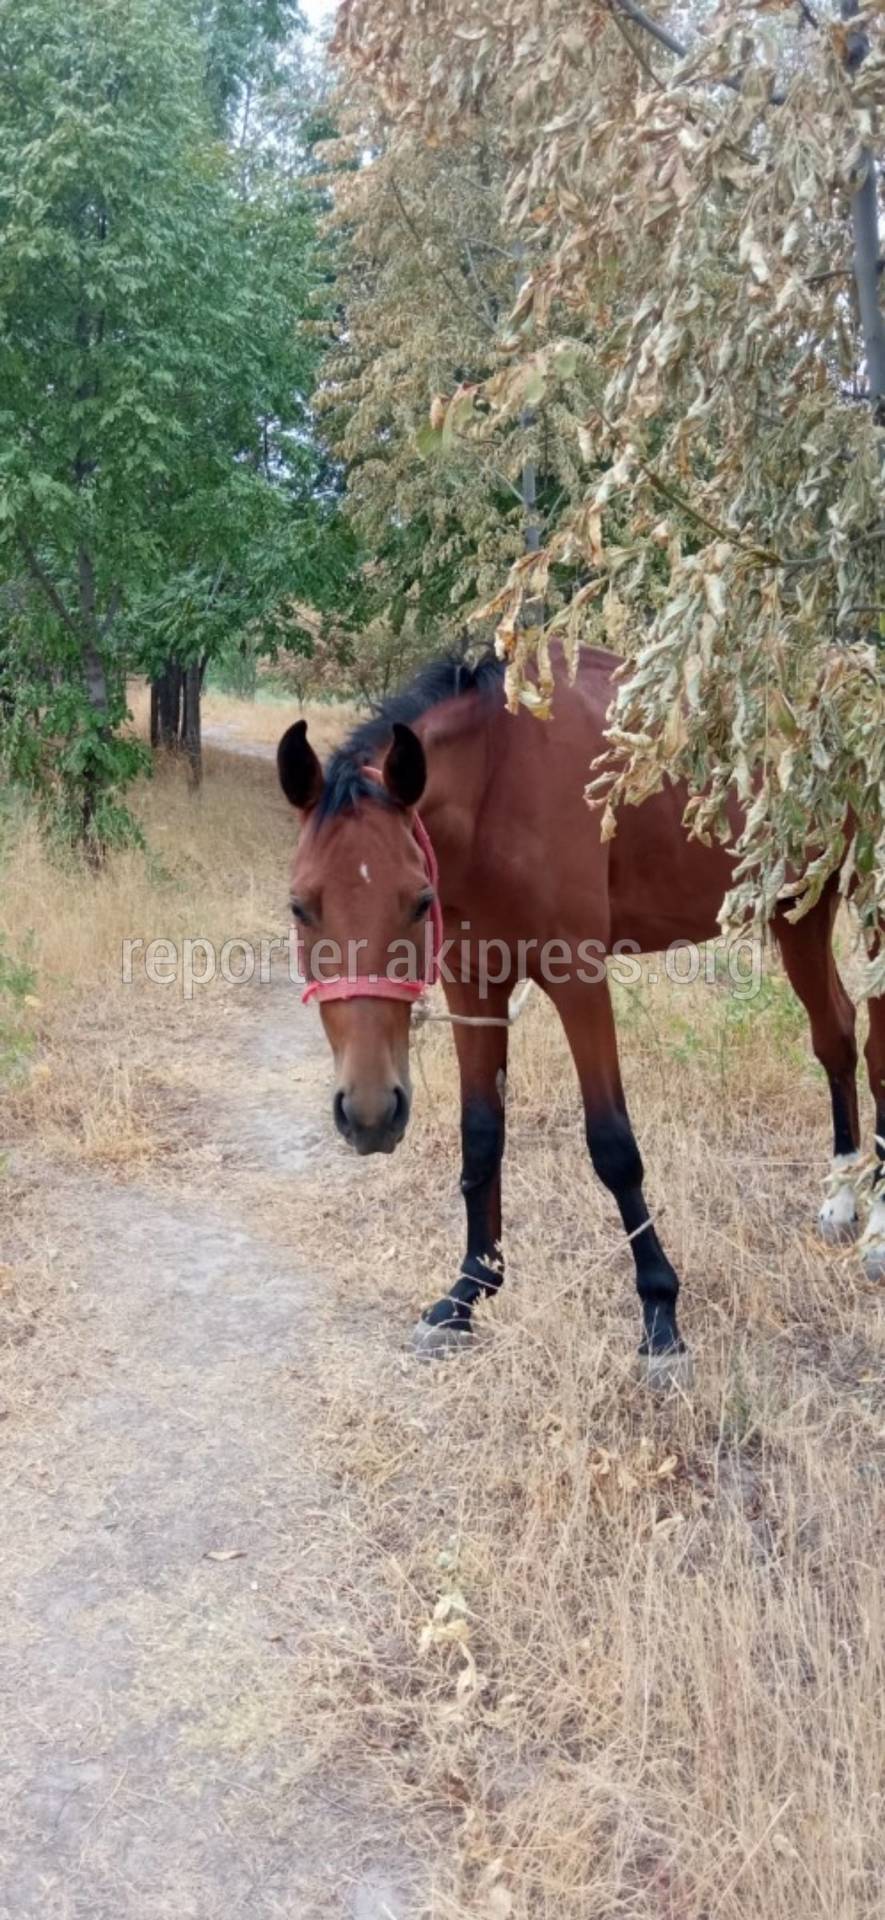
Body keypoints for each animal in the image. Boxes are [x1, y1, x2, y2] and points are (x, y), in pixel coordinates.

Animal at [276, 645, 883, 1382]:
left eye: (418, 901)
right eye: (300, 906)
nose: (369, 1115)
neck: (501, 780)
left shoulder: (577, 977)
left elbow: (613, 1146)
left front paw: (660, 1319)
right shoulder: (473, 983)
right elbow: (481, 1135)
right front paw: (467, 1292)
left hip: (868, 900)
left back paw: (876, 1235)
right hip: (797, 904)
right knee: (836, 1035)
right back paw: (842, 1198)